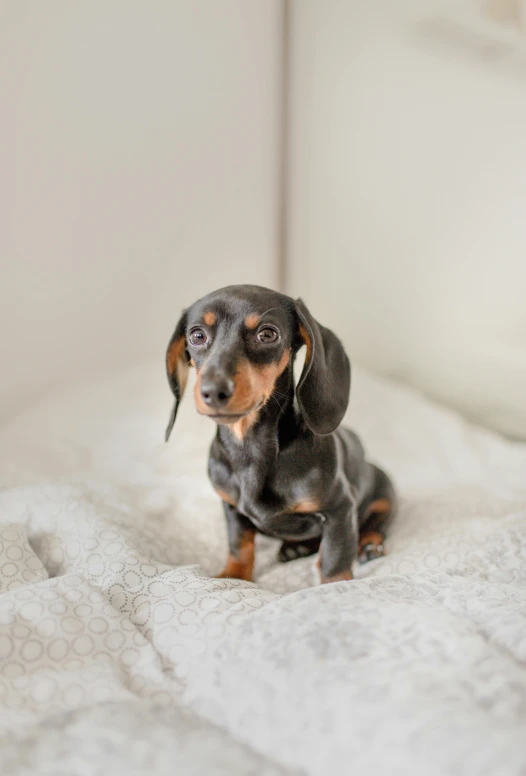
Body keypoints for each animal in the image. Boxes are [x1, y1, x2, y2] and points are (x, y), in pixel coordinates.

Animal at [165, 284, 396, 584]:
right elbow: (239, 545)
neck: (250, 449)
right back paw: (297, 547)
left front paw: (335, 586)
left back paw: (368, 544)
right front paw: (233, 577)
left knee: (378, 521)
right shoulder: (231, 508)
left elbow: (335, 555)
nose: (213, 391)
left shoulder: (341, 508)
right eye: (197, 335)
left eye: (267, 334)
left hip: (385, 490)